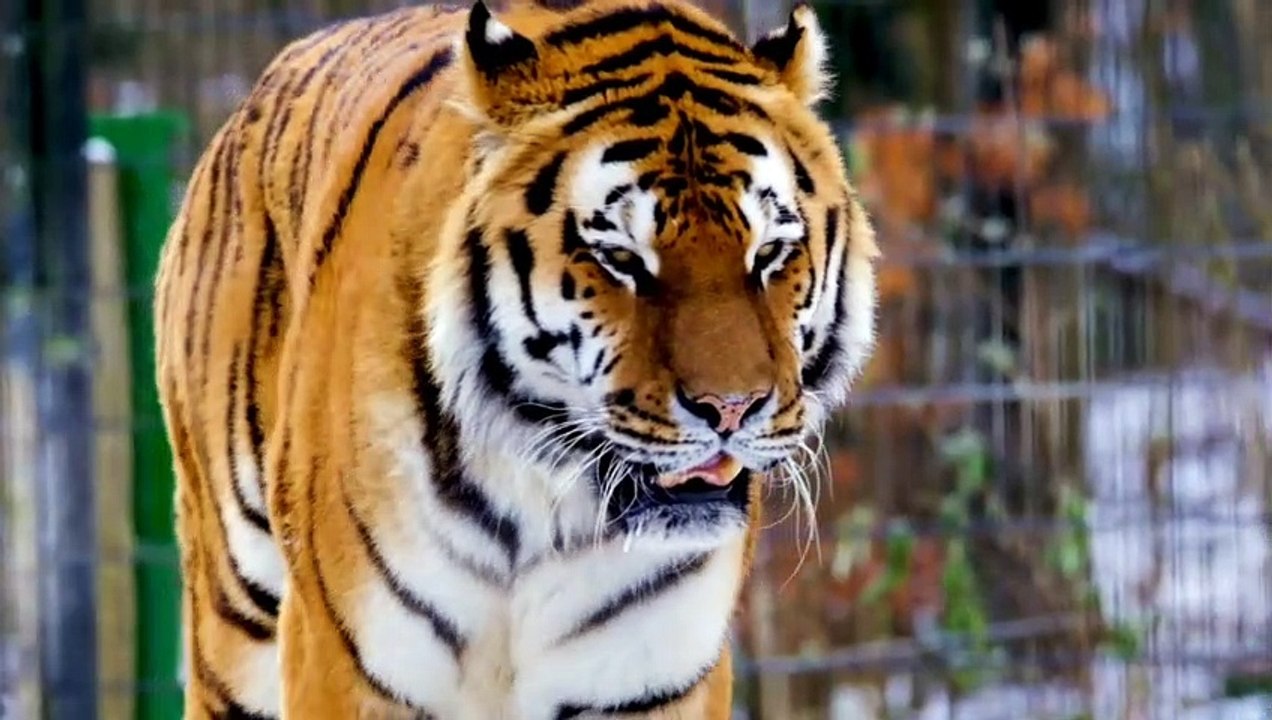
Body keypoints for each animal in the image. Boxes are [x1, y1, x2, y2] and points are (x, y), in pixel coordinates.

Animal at [152, 0, 879, 717]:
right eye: (621, 259)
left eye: (770, 254)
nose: (731, 409)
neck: (539, 505)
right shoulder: (349, 662)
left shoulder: (651, 675)